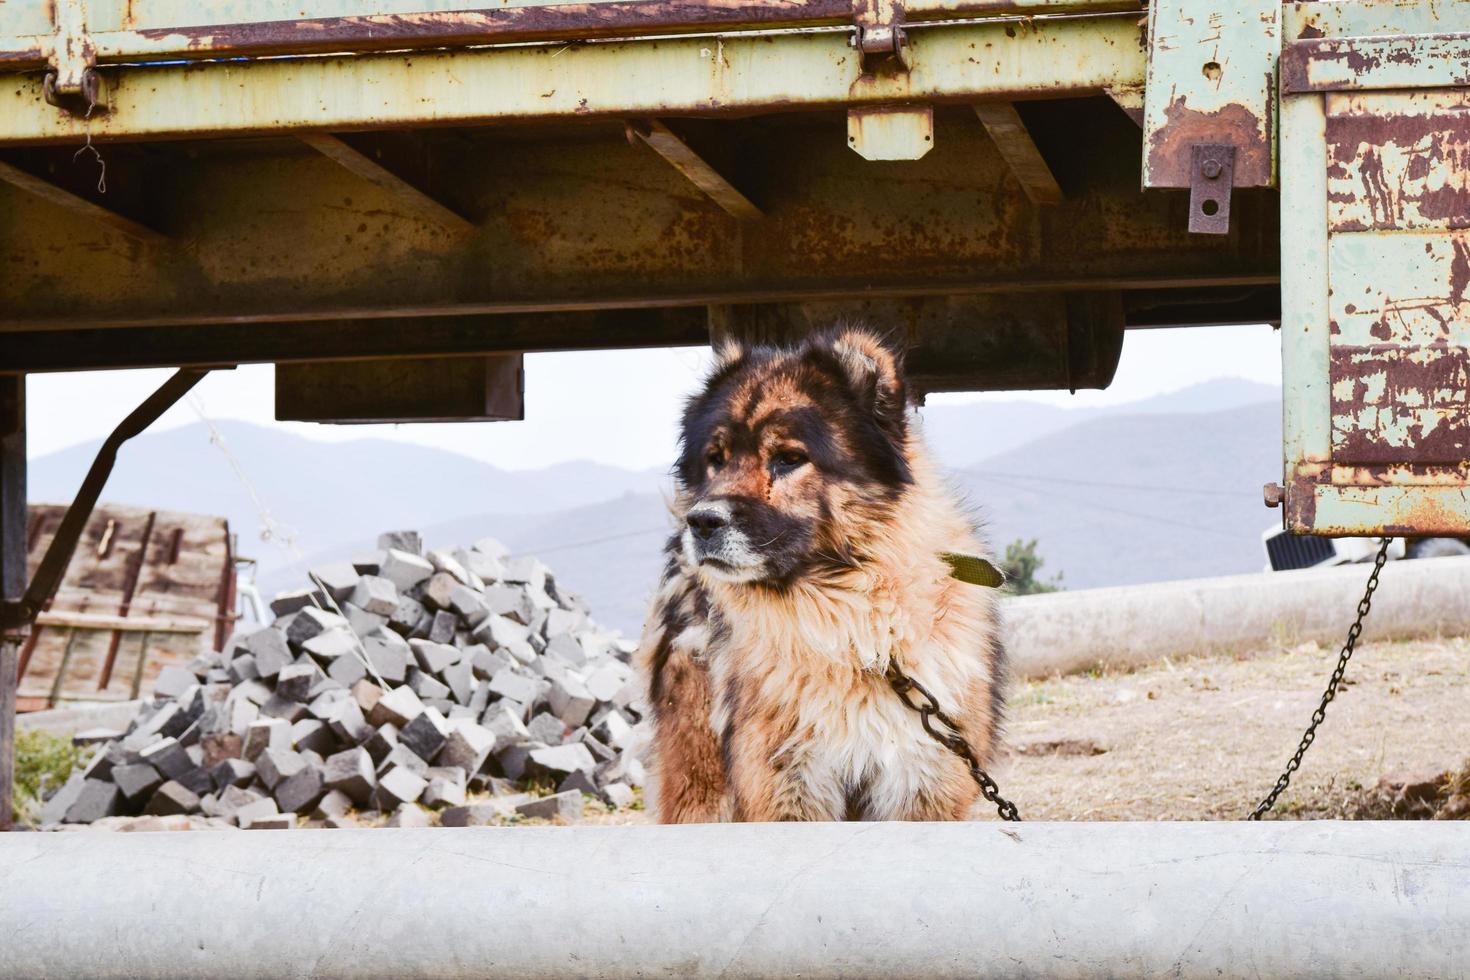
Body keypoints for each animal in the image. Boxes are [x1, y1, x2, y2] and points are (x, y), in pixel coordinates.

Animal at [637, 327, 1005, 822]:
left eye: (789, 458)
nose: (701, 522)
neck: (852, 633)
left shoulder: (923, 779)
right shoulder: (786, 786)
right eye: (716, 458)